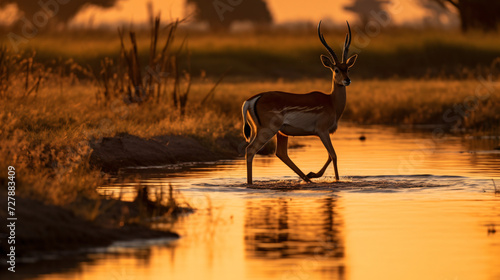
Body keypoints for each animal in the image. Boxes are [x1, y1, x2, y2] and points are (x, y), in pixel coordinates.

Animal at [241, 20, 356, 185]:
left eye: (348, 68)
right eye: (336, 69)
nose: (347, 80)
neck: (331, 101)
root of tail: (252, 99)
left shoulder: (322, 133)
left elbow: (329, 155)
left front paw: (312, 174)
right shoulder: (322, 131)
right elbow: (333, 155)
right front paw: (335, 180)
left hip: (280, 132)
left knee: (281, 153)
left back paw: (307, 179)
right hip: (268, 130)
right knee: (250, 151)